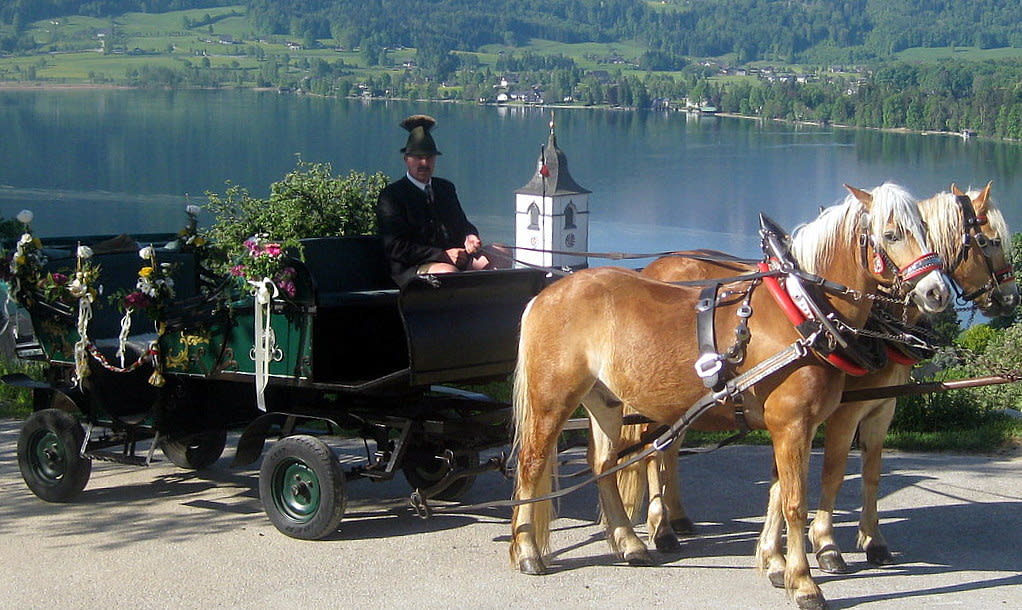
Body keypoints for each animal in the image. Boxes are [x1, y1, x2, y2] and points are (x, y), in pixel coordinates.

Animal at [509, 183, 951, 610]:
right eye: (892, 234)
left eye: (926, 230)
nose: (937, 292)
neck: (803, 312)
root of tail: (548, 293)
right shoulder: (793, 424)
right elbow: (795, 502)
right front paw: (804, 583)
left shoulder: (794, 427)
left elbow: (777, 493)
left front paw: (776, 566)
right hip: (553, 397)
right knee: (532, 463)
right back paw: (528, 550)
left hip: (605, 399)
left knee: (603, 463)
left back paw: (629, 543)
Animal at [620, 182, 1017, 579]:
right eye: (990, 241)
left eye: (925, 233)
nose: (1009, 297)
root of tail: (654, 266)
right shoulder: (842, 412)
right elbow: (831, 473)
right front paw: (824, 546)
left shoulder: (881, 408)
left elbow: (866, 474)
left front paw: (861, 543)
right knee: (652, 452)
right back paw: (661, 527)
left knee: (667, 449)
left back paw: (677, 519)